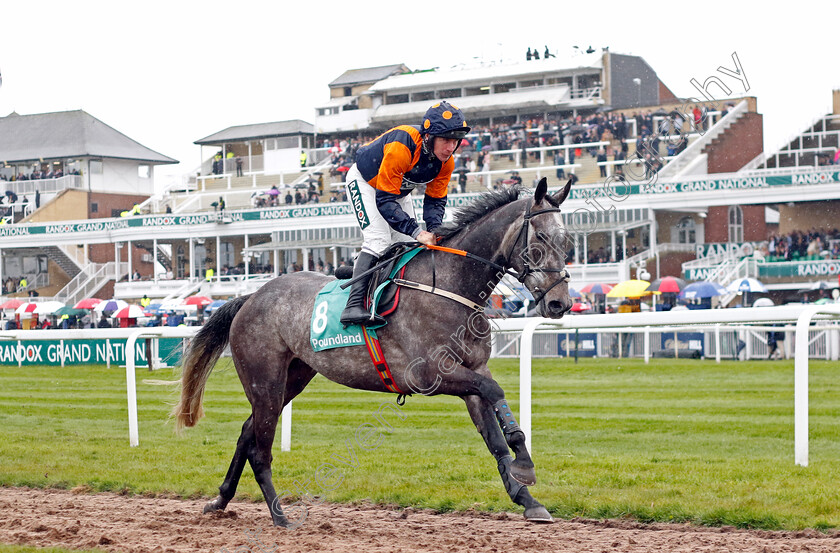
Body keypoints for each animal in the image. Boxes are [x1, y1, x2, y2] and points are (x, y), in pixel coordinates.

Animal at [174, 177, 576, 528]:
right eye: (540, 238)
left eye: (569, 241)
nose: (560, 303)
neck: (450, 286)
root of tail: (250, 297)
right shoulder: (431, 374)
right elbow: (496, 393)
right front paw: (524, 463)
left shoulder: (473, 372)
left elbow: (494, 435)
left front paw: (526, 497)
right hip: (264, 379)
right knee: (260, 448)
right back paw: (279, 515)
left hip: (293, 375)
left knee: (247, 432)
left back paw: (220, 500)